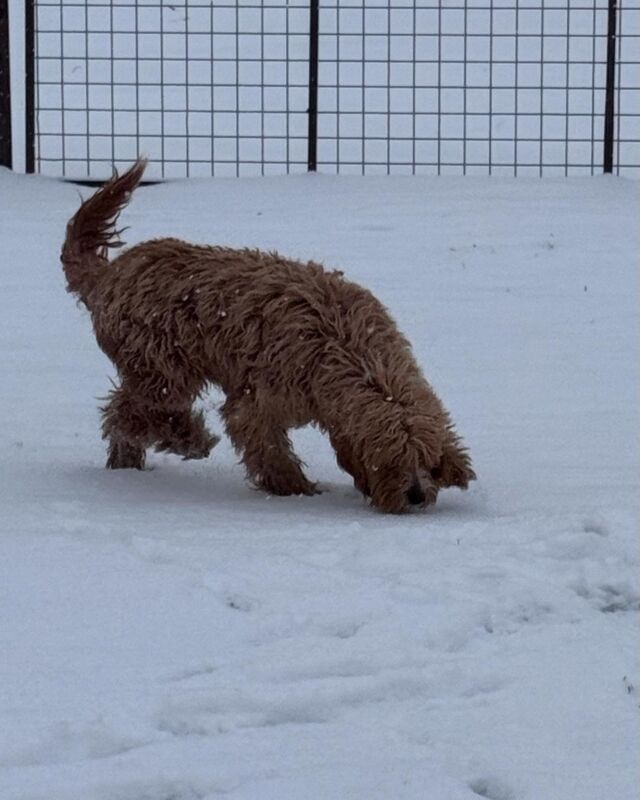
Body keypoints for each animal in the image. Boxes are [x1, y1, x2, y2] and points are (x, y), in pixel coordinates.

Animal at [61, 158, 476, 512]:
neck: (347, 349)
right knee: (127, 411)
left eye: (429, 461)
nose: (417, 496)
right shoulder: (257, 402)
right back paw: (188, 439)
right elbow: (268, 448)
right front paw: (297, 489)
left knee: (126, 411)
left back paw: (129, 462)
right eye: (389, 460)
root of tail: (110, 274)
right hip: (164, 368)